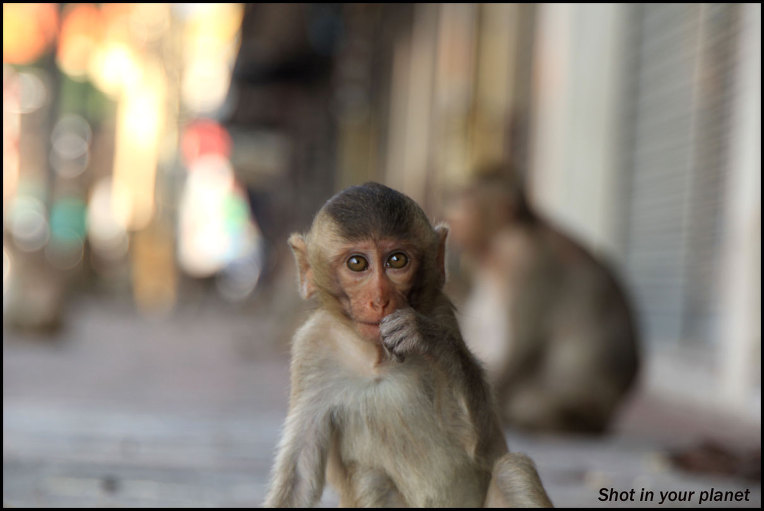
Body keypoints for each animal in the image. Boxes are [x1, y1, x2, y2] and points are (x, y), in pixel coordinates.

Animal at [266, 184, 552, 508]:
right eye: (357, 263)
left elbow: (480, 443)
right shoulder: (312, 348)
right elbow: (300, 477)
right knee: (371, 480)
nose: (380, 299)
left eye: (397, 260)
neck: (375, 358)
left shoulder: (440, 313)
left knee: (512, 468)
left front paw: (424, 336)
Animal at [444, 166, 640, 434]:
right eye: (460, 194)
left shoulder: (529, 268)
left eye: (467, 197)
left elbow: (524, 342)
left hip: (586, 398)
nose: (451, 204)